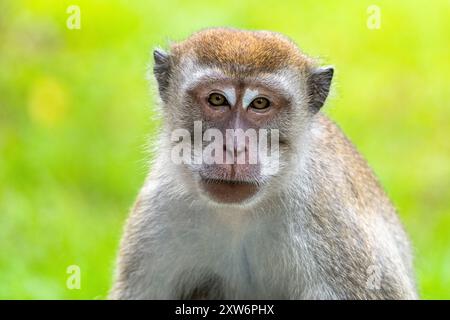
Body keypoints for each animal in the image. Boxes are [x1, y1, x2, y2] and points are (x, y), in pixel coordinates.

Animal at [110, 28, 418, 300]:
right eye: (217, 99)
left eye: (260, 103)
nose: (234, 147)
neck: (238, 214)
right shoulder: (159, 208)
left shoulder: (329, 219)